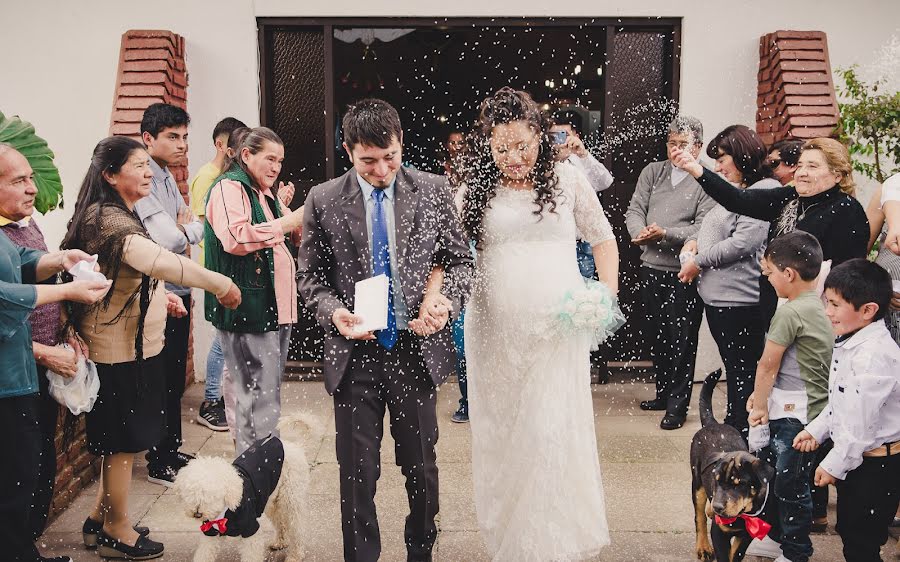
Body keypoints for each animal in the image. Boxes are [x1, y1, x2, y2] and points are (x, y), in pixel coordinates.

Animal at [688, 370, 772, 556]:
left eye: (739, 484)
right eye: (716, 481)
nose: (718, 507)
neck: (743, 515)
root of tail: (713, 423)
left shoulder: (746, 536)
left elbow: (735, 554)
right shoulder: (719, 532)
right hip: (697, 483)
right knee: (699, 516)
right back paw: (703, 547)